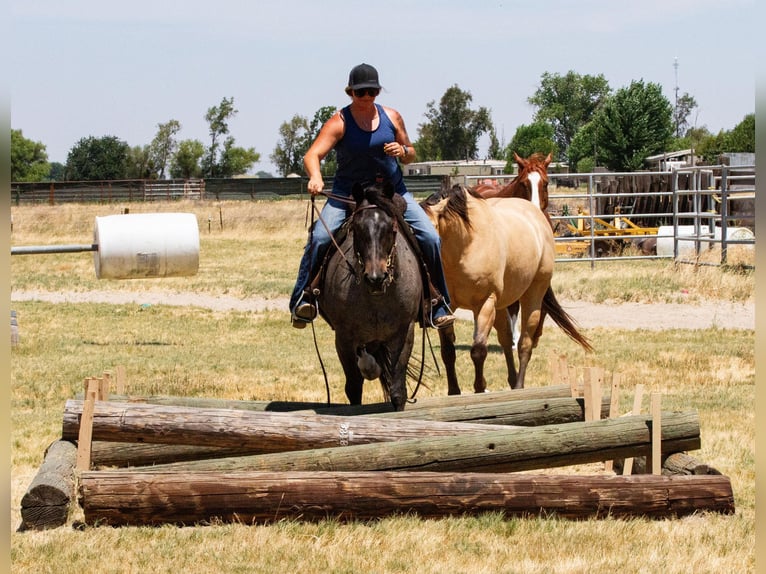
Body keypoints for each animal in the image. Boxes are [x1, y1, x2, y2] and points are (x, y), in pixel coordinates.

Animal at [317, 180, 423, 411]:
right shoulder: (344, 338)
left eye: (392, 228)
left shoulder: (404, 333)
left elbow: (398, 390)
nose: (376, 278)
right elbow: (354, 388)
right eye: (357, 228)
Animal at [421, 185, 592, 394]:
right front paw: (454, 392)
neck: (466, 244)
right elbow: (448, 352)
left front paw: (479, 388)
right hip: (501, 306)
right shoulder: (448, 307)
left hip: (532, 295)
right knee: (506, 340)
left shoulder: (484, 304)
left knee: (524, 343)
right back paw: (511, 381)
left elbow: (478, 350)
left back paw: (518, 385)